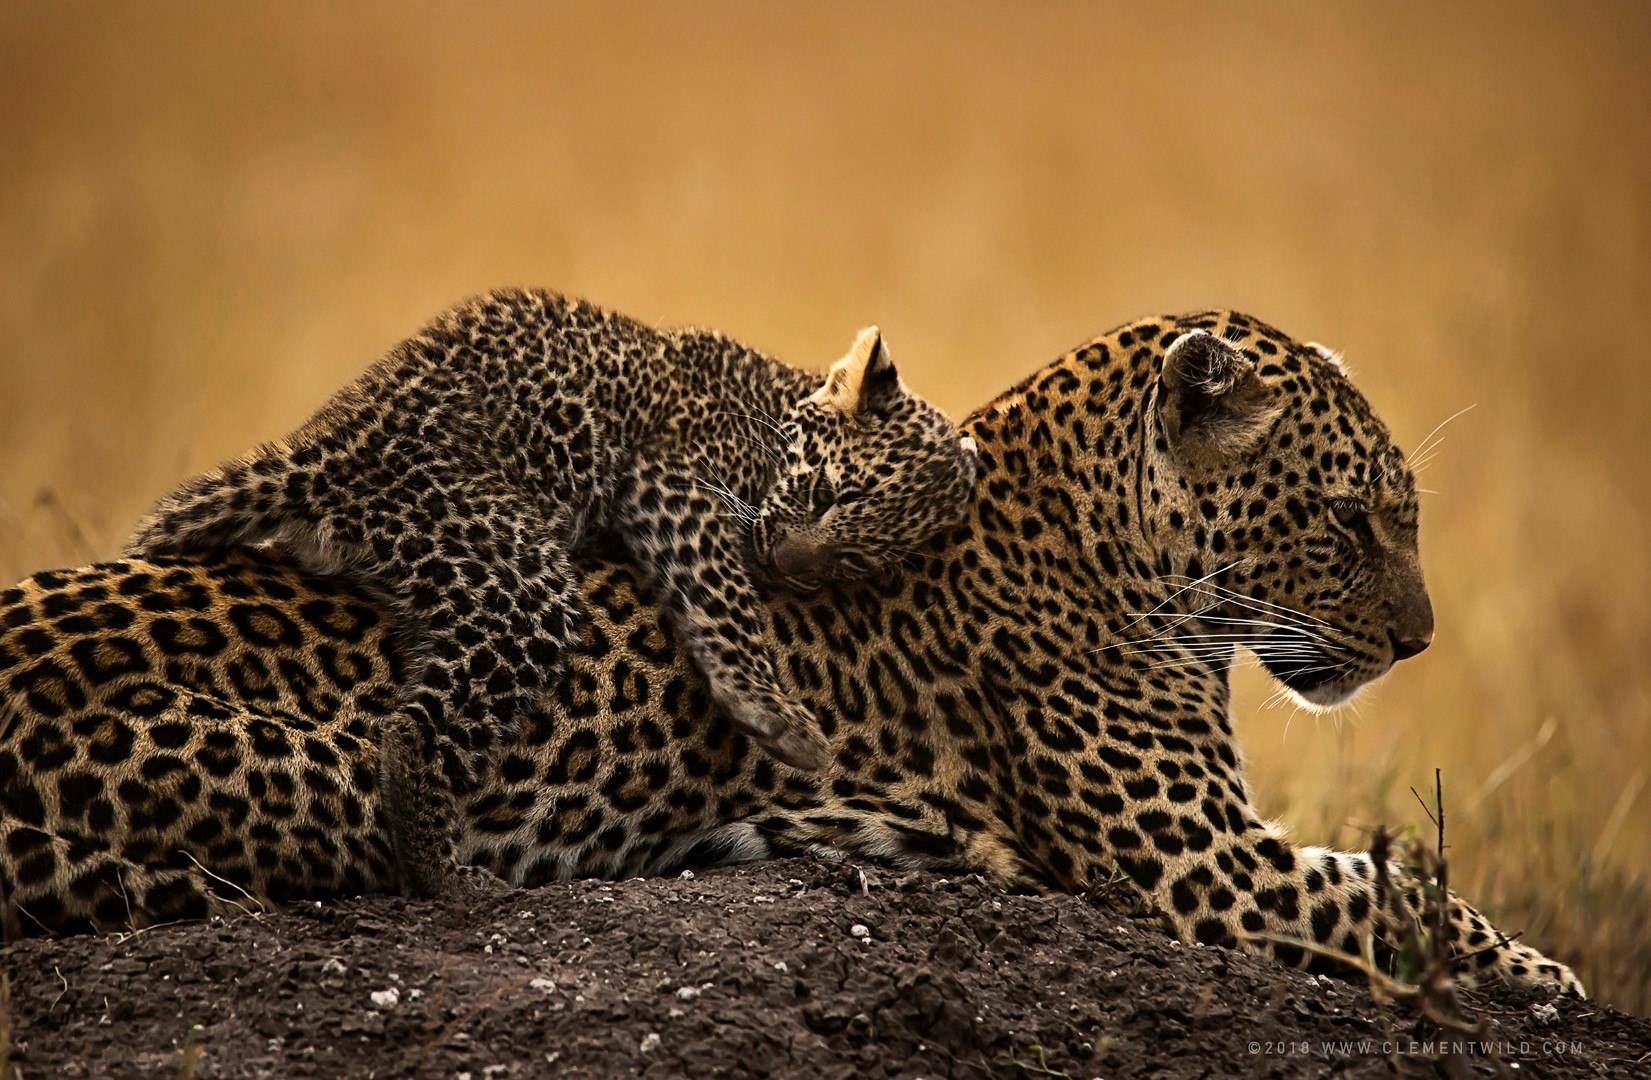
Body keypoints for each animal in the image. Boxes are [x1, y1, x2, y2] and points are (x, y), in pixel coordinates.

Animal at [0, 307, 1578, 997]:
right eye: (1351, 518)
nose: (1418, 642)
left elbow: (1387, 874)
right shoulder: (1200, 863)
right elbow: (1390, 893)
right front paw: (1540, 971)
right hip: (310, 776)